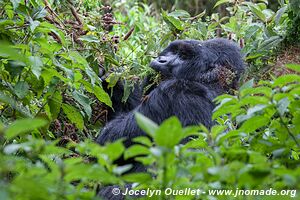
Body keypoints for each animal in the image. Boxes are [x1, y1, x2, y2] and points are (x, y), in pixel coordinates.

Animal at [96, 38, 244, 199]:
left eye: (184, 56)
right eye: (174, 50)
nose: (161, 59)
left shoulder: (174, 91)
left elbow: (107, 142)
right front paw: (115, 81)